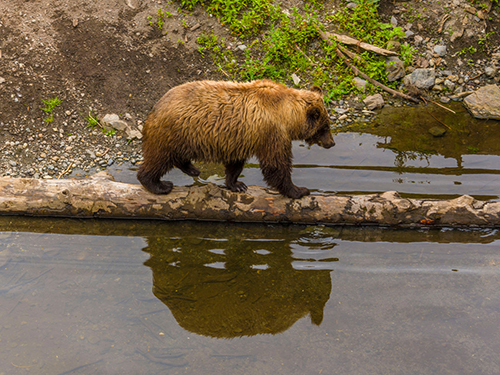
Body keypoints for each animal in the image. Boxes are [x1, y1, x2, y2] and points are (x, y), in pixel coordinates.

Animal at [136, 79, 336, 200]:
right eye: (325, 127)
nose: (332, 143)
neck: (286, 114)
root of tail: (154, 107)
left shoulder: (239, 138)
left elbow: (235, 164)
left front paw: (236, 184)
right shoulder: (272, 132)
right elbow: (276, 164)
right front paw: (299, 190)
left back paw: (193, 169)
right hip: (173, 132)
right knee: (159, 159)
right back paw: (159, 185)